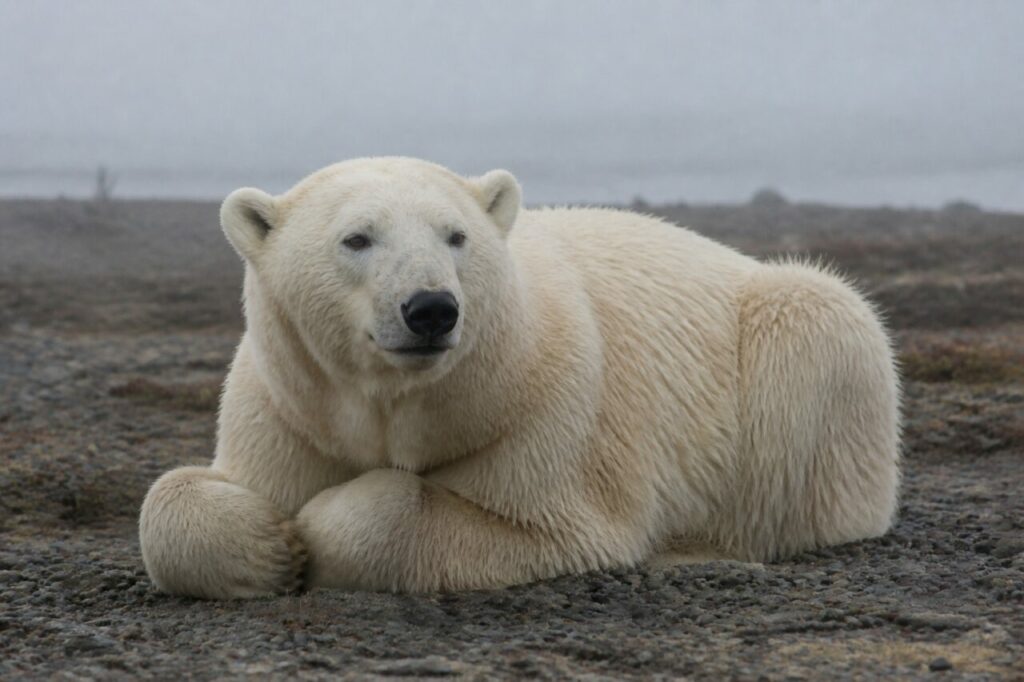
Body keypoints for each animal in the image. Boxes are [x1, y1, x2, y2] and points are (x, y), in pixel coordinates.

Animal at [138, 157, 901, 599]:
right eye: (356, 238)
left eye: (455, 236)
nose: (431, 308)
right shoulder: (286, 411)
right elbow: (175, 499)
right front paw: (271, 546)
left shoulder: (544, 415)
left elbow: (537, 527)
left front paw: (314, 535)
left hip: (804, 348)